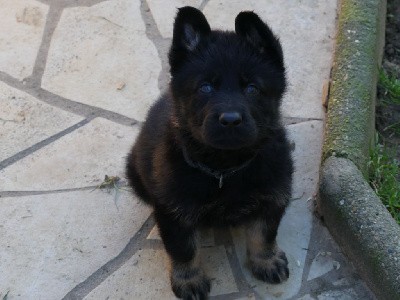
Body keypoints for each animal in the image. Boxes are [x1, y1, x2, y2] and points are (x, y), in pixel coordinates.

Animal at [126, 7, 292, 300]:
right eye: (205, 87)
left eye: (252, 88)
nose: (230, 120)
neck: (225, 169)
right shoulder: (173, 212)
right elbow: (183, 249)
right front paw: (189, 280)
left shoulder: (273, 197)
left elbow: (264, 233)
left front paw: (266, 260)